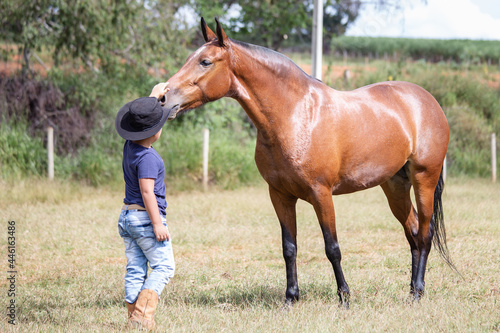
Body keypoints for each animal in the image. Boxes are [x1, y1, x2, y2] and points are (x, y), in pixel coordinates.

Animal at [164, 17, 454, 304]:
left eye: (205, 62)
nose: (164, 97)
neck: (295, 115)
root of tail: (426, 100)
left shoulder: (321, 194)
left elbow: (332, 247)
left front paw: (344, 297)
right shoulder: (280, 195)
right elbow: (289, 248)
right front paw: (291, 297)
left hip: (424, 179)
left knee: (425, 234)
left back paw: (418, 292)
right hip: (394, 185)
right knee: (412, 232)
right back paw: (412, 291)